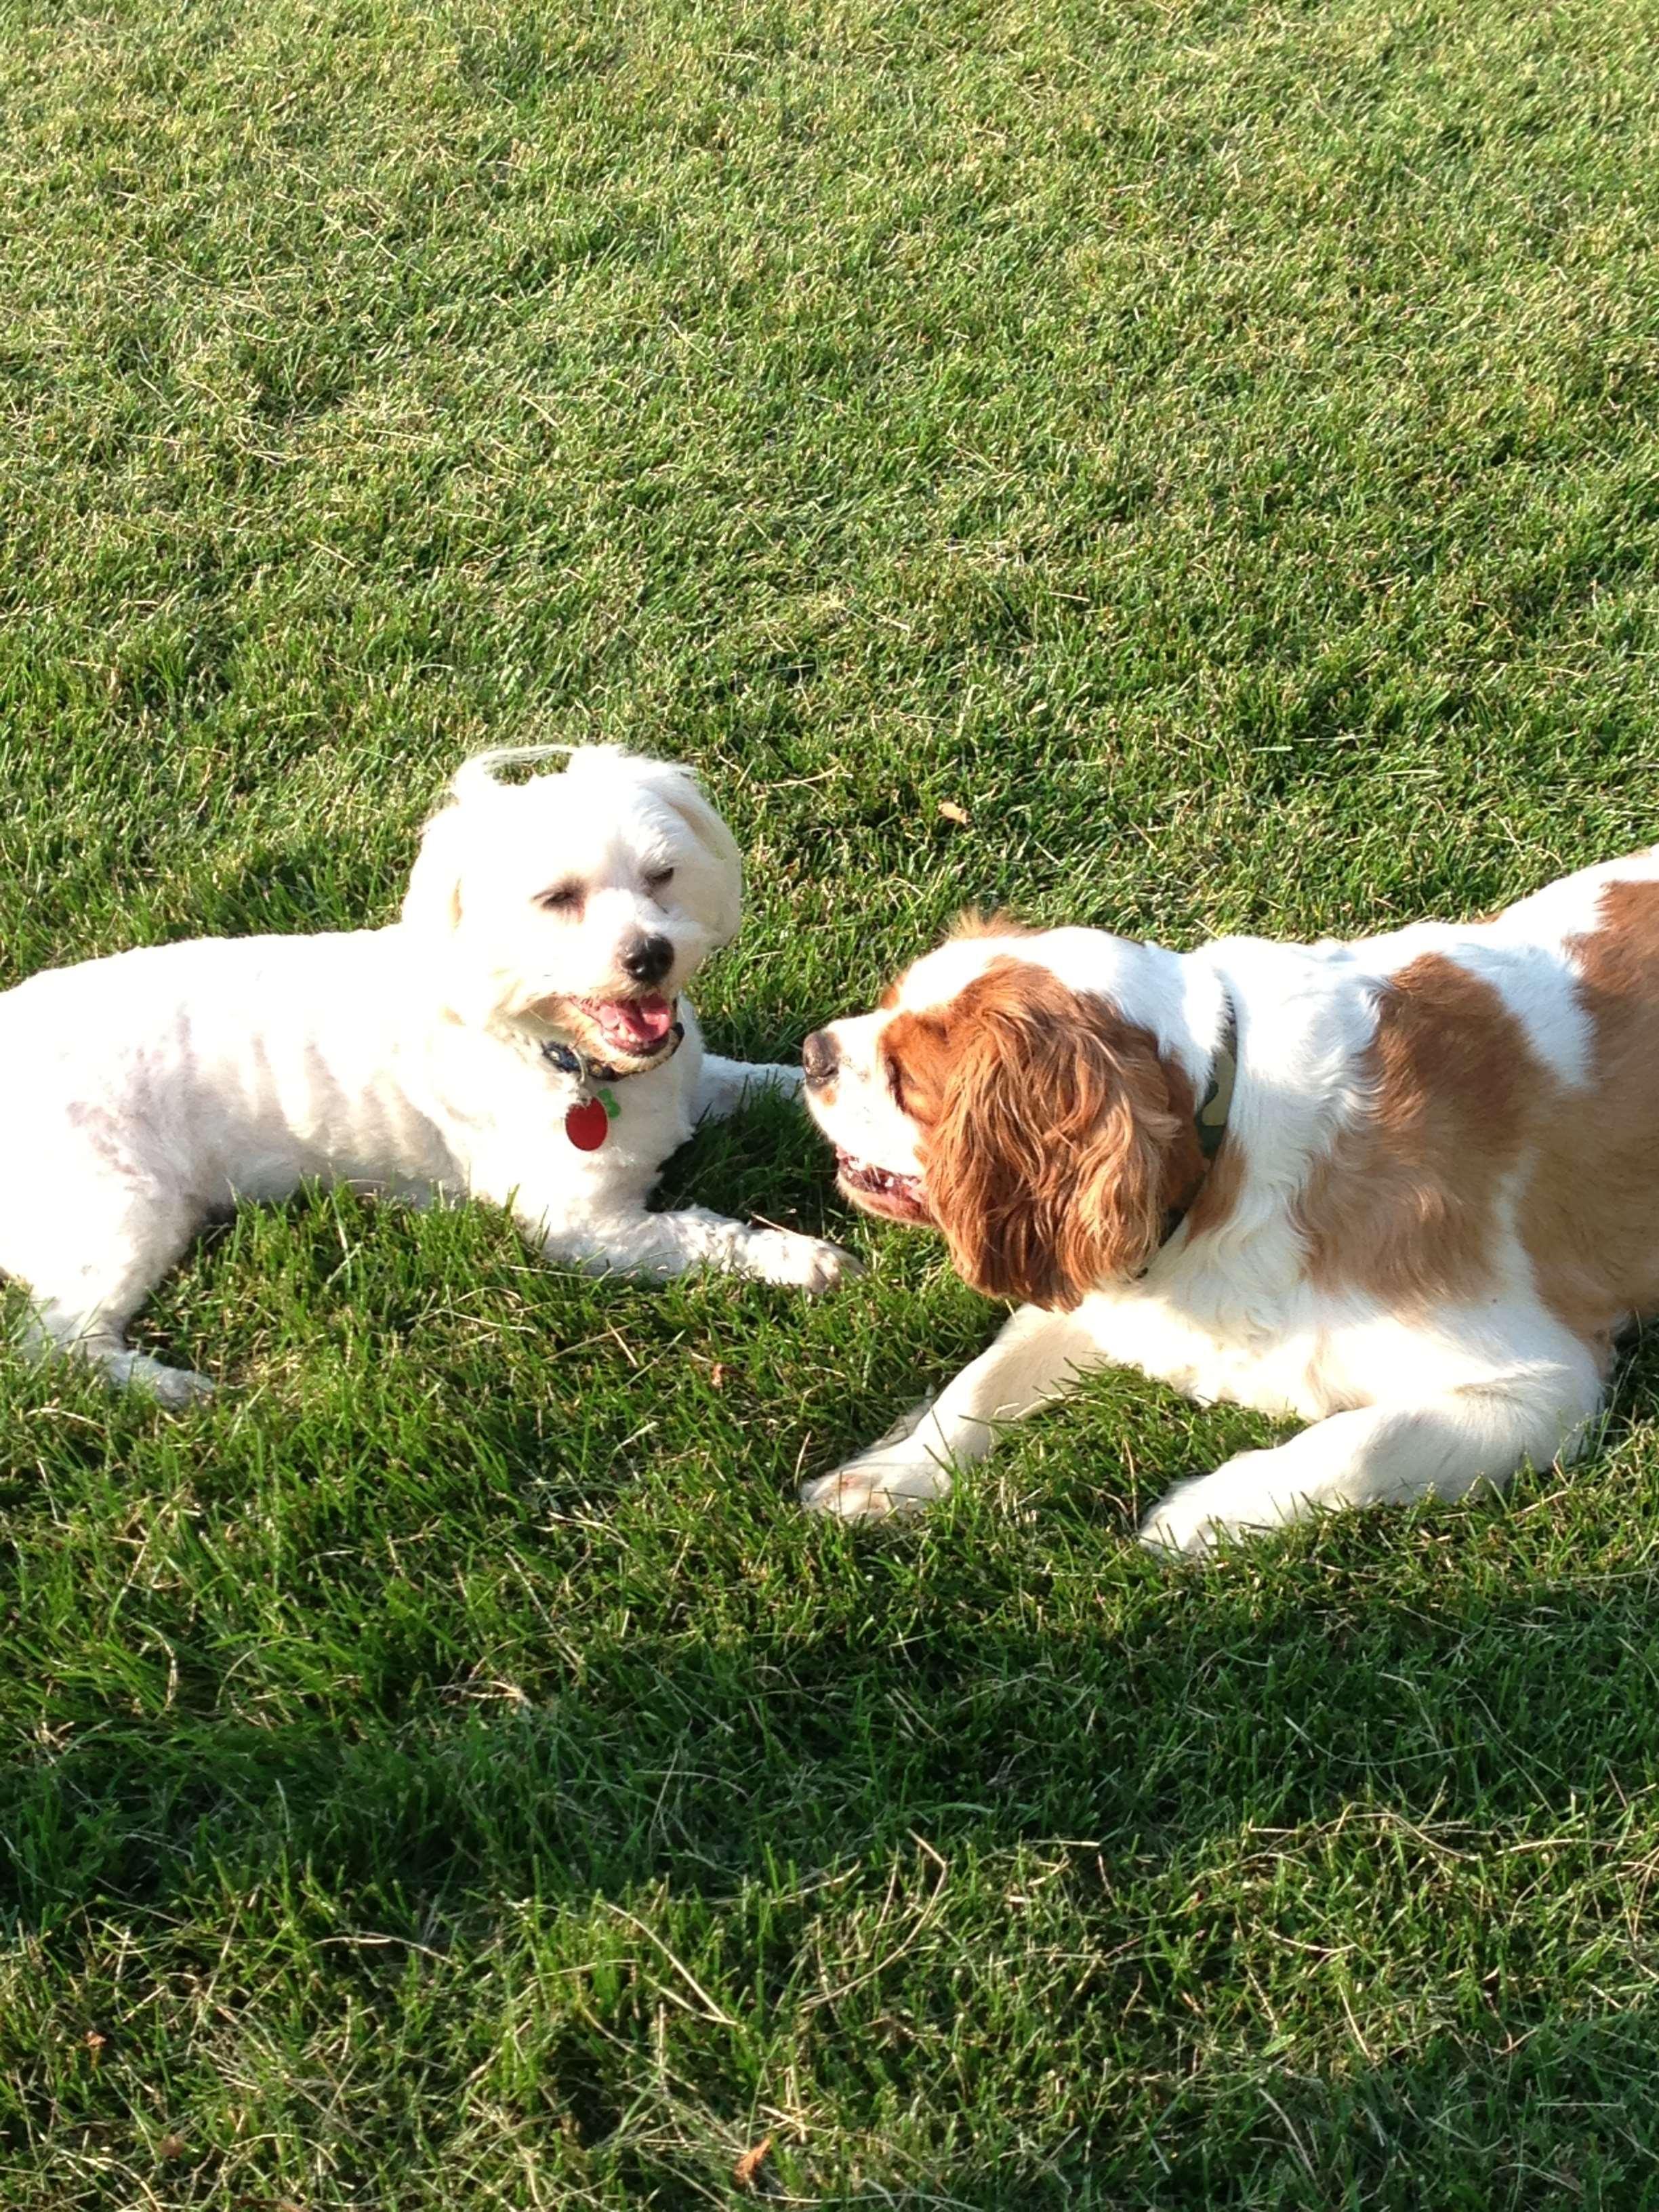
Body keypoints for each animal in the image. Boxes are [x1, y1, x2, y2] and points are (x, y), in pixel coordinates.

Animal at [0, 743, 858, 1397]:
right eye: (558, 899)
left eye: (662, 875)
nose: (651, 954)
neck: (569, 1057)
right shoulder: (584, 1228)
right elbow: (703, 1235)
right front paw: (799, 1257)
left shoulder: (695, 1080)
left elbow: (769, 1082)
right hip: (118, 1207)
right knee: (56, 1345)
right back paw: (167, 1388)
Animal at [796, 849, 1659, 1557]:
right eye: (882, 1005)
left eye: (908, 1079)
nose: (811, 1053)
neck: (1230, 1123)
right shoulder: (1099, 1280)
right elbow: (977, 1383)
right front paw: (891, 1476)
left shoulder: (1545, 1382)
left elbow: (1362, 1443)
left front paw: (1201, 1515)